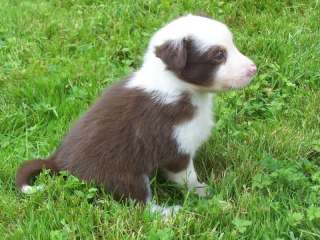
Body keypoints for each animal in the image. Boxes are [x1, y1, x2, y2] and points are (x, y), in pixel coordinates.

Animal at [16, 14, 256, 215]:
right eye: (218, 55)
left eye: (232, 44)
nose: (254, 69)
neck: (176, 86)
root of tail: (59, 162)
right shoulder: (176, 149)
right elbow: (188, 179)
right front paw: (207, 195)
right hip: (125, 174)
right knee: (140, 204)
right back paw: (171, 213)